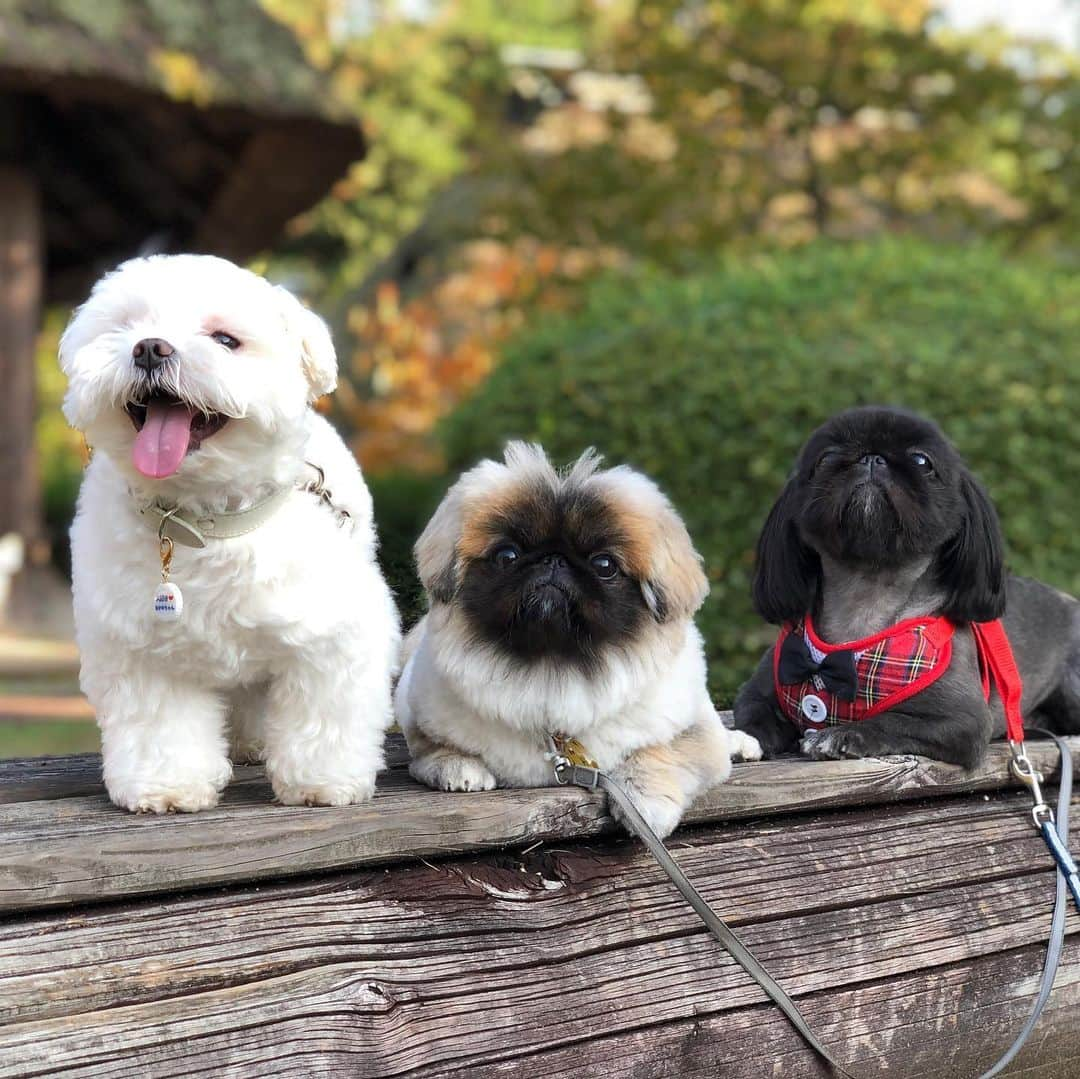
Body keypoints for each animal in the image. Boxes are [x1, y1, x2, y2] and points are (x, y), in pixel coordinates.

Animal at [59, 254, 399, 812]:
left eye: (225, 340)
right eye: (126, 326)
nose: (149, 347)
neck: (204, 522)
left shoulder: (334, 637)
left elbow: (325, 714)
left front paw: (322, 781)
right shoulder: (143, 649)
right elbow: (161, 725)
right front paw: (167, 784)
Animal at [730, 406, 1075, 769]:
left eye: (922, 461)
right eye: (827, 458)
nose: (871, 457)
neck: (866, 597)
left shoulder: (963, 721)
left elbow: (893, 721)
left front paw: (841, 734)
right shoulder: (759, 691)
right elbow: (754, 715)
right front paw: (740, 740)